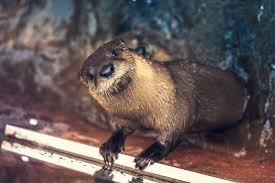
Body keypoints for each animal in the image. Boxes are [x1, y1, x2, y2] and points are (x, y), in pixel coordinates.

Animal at [77, 38, 248, 170]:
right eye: (90, 75)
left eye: (115, 53)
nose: (106, 70)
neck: (142, 110)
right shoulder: (122, 117)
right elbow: (119, 128)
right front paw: (110, 146)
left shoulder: (178, 107)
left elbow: (173, 133)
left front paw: (149, 154)